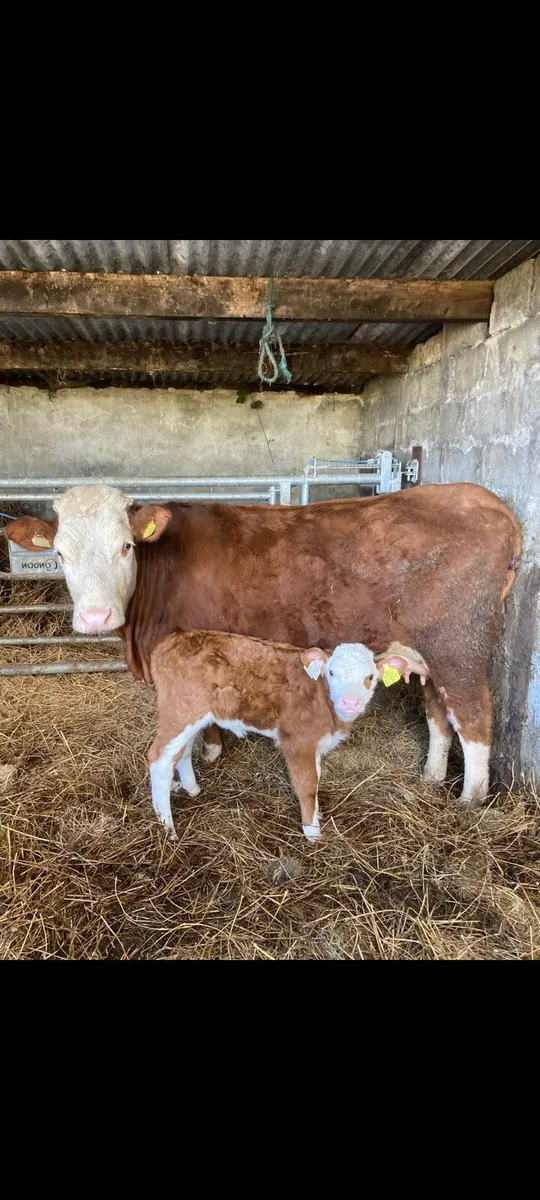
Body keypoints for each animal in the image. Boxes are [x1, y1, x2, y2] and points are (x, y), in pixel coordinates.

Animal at [5, 481, 521, 806]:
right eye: (60, 554)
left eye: (125, 546)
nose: (95, 617)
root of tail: (479, 497)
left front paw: (207, 756)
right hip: (427, 655)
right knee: (438, 713)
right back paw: (431, 776)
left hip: (460, 649)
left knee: (474, 718)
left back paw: (468, 800)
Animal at [147, 632, 429, 840]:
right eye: (332, 673)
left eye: (370, 677)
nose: (350, 702)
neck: (321, 697)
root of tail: (170, 640)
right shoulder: (297, 740)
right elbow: (307, 785)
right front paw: (313, 833)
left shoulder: (315, 745)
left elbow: (317, 779)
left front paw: (317, 816)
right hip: (180, 711)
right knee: (158, 759)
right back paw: (167, 828)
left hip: (192, 716)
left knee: (181, 752)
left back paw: (192, 789)